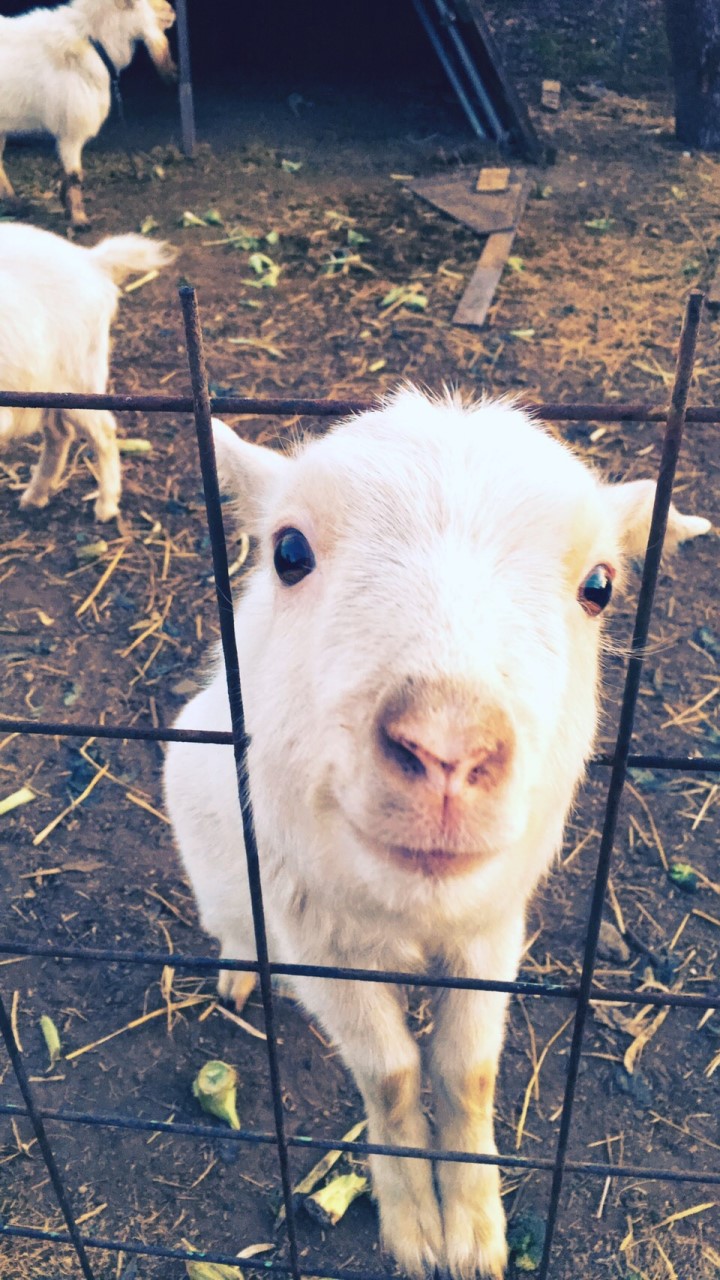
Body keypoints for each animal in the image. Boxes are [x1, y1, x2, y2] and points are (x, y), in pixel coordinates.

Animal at [0, 0, 175, 225]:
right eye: (135, 4)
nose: (171, 10)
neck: (92, 41)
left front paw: (68, 208)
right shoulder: (71, 129)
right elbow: (75, 175)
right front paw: (80, 220)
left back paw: (16, 204)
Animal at [0, 221, 174, 519]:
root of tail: (90, 260)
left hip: (78, 377)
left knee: (102, 430)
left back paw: (106, 506)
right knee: (60, 433)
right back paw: (36, 496)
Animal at [162, 391, 707, 1280]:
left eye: (598, 586)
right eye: (288, 552)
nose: (448, 747)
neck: (409, 915)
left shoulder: (494, 926)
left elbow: (468, 1069)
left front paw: (477, 1229)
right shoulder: (314, 937)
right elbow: (388, 1072)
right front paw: (415, 1226)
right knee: (235, 927)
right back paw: (239, 972)